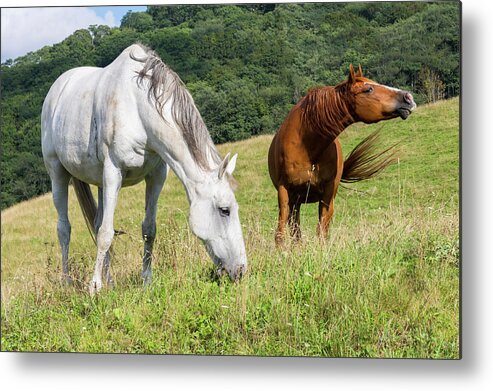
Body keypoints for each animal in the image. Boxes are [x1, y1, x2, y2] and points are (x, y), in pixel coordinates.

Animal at [40, 43, 246, 294]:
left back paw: (110, 281)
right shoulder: (113, 172)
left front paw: (146, 279)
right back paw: (68, 283)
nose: (241, 270)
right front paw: (94, 287)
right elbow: (106, 233)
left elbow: (148, 229)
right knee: (64, 229)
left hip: (100, 182)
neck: (138, 108)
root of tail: (58, 88)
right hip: (58, 174)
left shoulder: (156, 176)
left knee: (97, 224)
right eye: (225, 210)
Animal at [270, 66, 416, 247]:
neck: (307, 146)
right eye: (368, 89)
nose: (408, 97)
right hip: (295, 201)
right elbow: (281, 231)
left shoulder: (327, 195)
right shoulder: (285, 192)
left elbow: (322, 231)